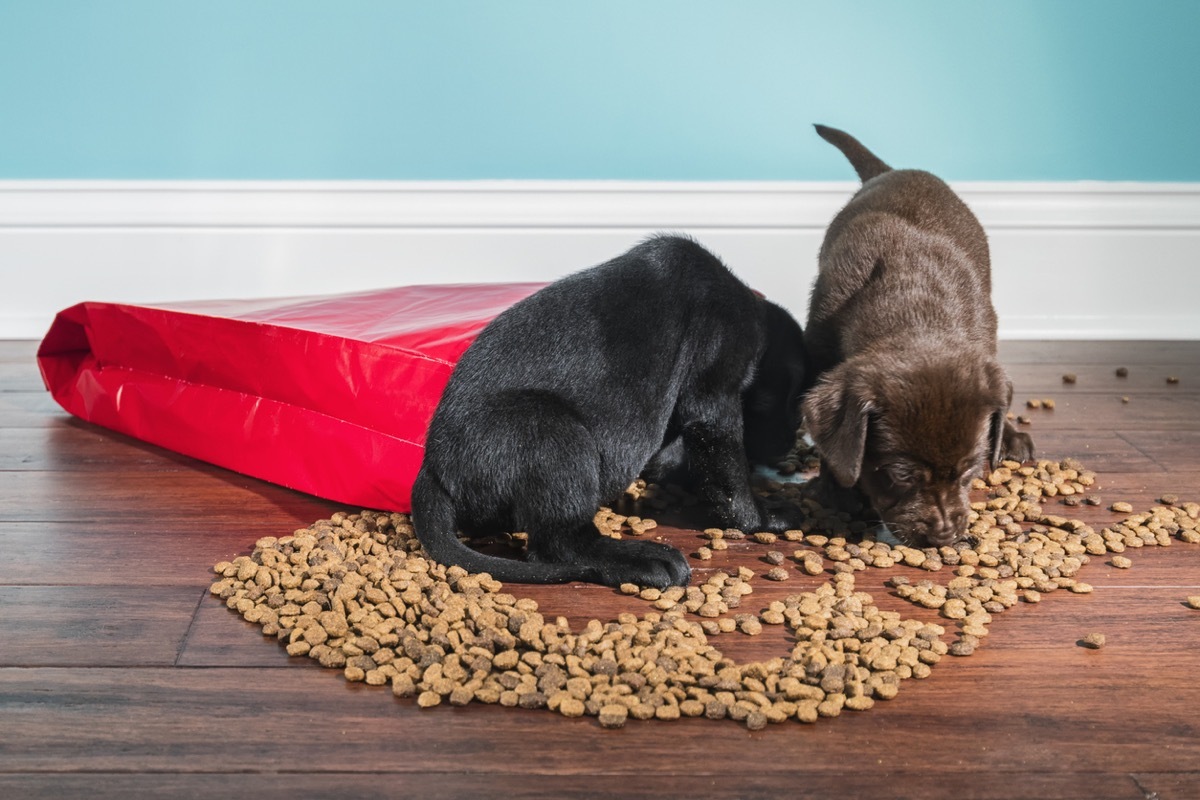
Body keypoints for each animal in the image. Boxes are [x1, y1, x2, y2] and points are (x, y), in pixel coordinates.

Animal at [408, 235, 811, 592]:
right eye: (792, 402)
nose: (792, 440)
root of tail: (433, 470)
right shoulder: (716, 386)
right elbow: (731, 478)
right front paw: (765, 517)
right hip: (551, 432)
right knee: (561, 542)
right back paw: (641, 559)